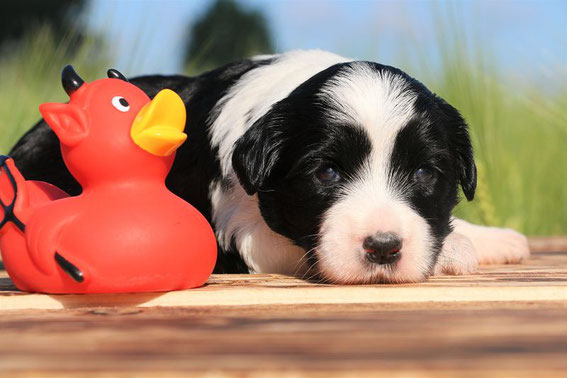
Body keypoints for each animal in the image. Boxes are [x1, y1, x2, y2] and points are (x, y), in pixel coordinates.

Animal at [10, 49, 532, 284]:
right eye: (326, 173)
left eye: (425, 173)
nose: (384, 247)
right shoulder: (239, 237)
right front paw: (455, 250)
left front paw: (486, 237)